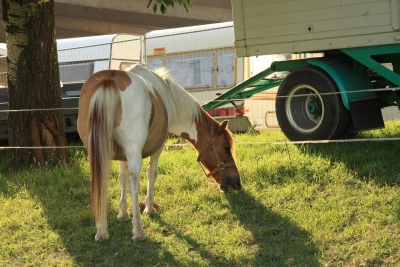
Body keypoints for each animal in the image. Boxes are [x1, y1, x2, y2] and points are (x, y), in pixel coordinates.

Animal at [77, 64, 241, 241]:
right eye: (226, 147)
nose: (236, 183)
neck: (167, 95)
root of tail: (110, 79)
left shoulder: (122, 154)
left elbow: (122, 178)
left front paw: (122, 214)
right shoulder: (157, 147)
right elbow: (151, 174)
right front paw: (148, 208)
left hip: (98, 153)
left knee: (100, 180)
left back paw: (101, 231)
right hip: (133, 150)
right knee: (134, 181)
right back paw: (138, 230)